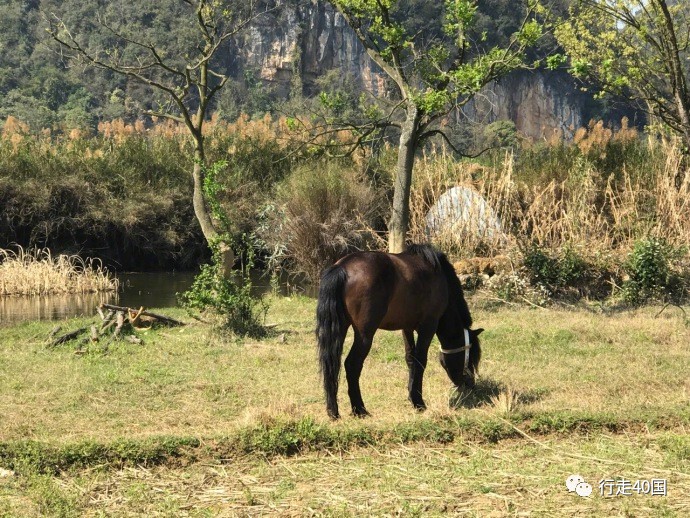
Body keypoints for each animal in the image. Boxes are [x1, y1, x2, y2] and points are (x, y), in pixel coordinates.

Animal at [314, 246, 482, 420]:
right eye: (471, 357)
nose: (470, 384)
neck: (439, 276)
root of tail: (342, 268)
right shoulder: (428, 326)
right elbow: (420, 361)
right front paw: (419, 402)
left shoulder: (406, 327)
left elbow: (410, 359)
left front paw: (411, 396)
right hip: (365, 335)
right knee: (352, 364)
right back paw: (360, 409)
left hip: (339, 328)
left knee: (331, 365)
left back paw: (333, 411)